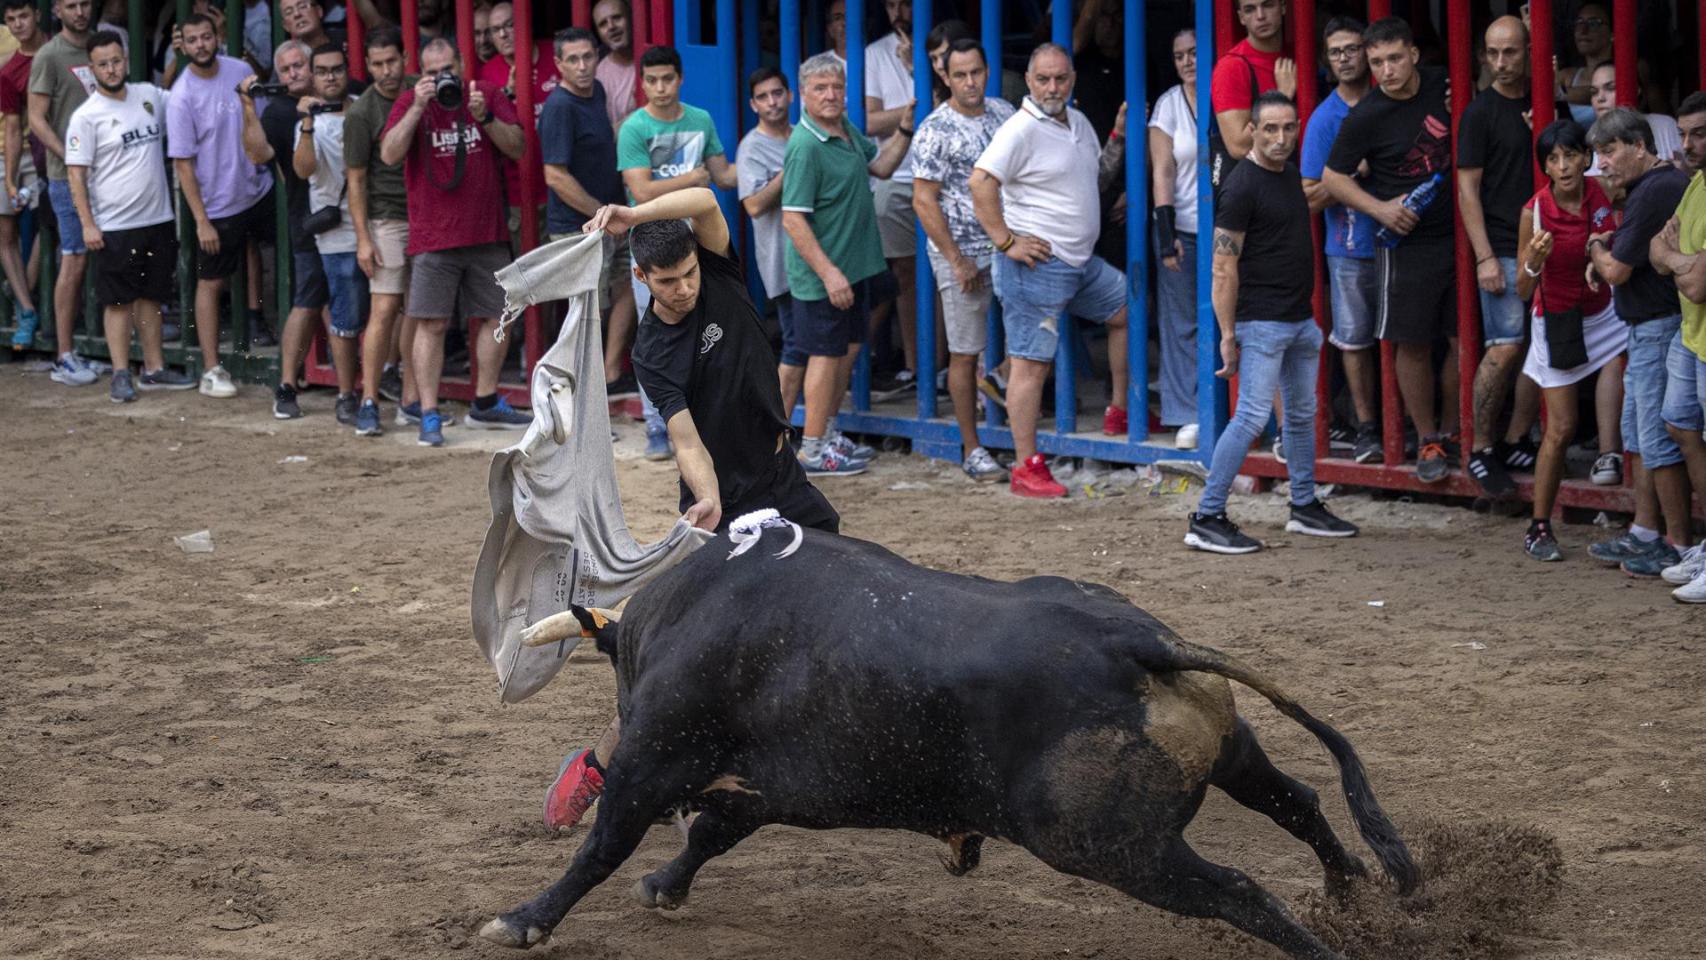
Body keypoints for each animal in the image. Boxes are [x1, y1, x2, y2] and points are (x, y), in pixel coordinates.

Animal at [481, 528, 1412, 954]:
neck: (683, 615)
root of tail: (1138, 644)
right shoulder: (762, 787)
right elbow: (709, 833)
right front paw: (665, 886)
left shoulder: (655, 762)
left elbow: (604, 845)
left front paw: (523, 919)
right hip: (1229, 754)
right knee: (1299, 801)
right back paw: (1354, 892)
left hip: (1112, 848)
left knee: (1242, 892)